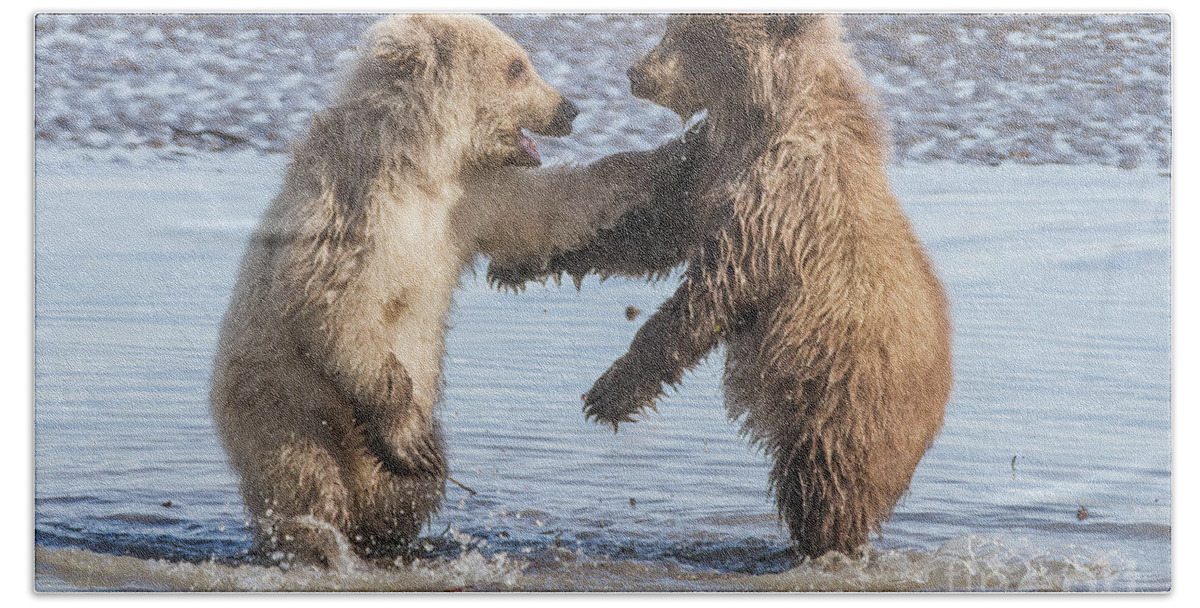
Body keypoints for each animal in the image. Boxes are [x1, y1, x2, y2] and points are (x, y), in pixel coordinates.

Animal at [211, 13, 672, 566]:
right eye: (517, 67)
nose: (570, 108)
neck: (419, 164)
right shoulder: (352, 208)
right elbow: (334, 302)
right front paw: (406, 439)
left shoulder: (469, 202)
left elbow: (547, 212)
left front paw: (661, 158)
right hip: (277, 400)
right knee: (303, 475)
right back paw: (319, 539)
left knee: (402, 492)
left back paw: (387, 529)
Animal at [492, 13, 950, 561]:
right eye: (672, 27)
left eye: (692, 37)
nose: (635, 72)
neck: (761, 118)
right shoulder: (710, 168)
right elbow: (650, 231)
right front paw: (519, 261)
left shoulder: (778, 203)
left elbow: (713, 292)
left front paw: (608, 392)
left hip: (841, 398)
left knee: (822, 488)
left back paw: (817, 548)